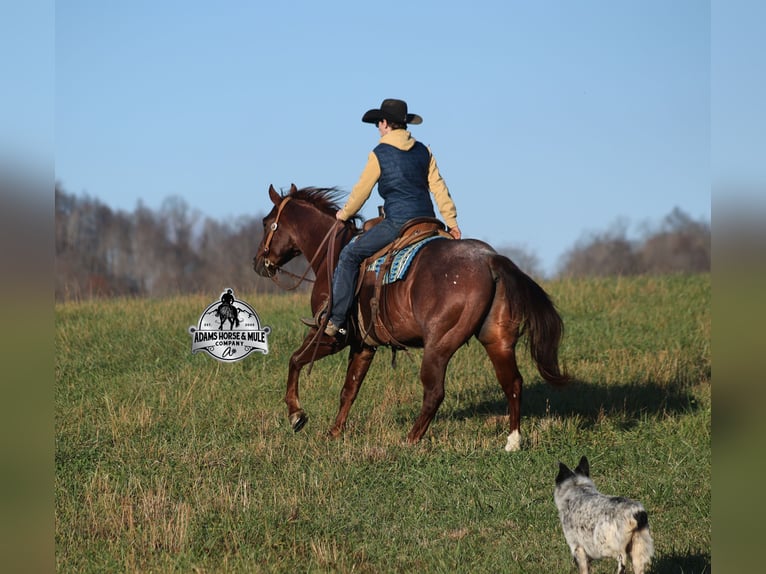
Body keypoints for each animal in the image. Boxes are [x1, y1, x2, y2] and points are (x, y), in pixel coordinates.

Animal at [253, 184, 569, 451]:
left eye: (267, 223)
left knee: (435, 392)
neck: (333, 256)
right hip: (497, 340)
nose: (258, 263)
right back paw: (513, 441)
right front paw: (334, 432)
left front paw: (296, 414)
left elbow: (295, 360)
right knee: (512, 383)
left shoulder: (331, 336)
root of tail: (490, 259)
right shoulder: (363, 345)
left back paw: (411, 439)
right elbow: (349, 389)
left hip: (439, 345)